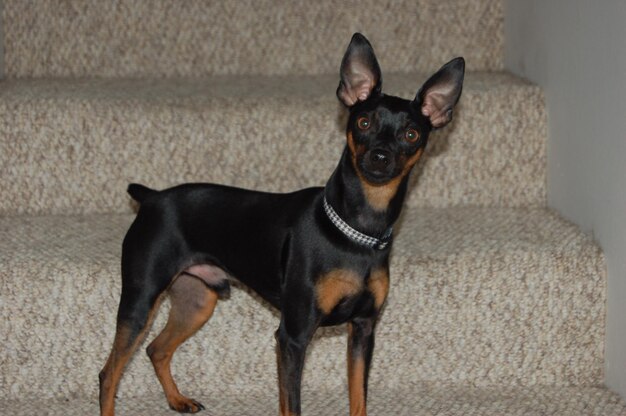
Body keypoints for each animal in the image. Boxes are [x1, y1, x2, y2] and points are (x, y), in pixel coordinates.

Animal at [98, 33, 464, 416]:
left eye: (411, 134)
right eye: (363, 123)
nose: (379, 157)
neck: (357, 233)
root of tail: (153, 197)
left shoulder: (363, 330)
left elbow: (358, 398)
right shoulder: (293, 336)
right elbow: (293, 404)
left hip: (196, 301)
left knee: (156, 349)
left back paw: (177, 399)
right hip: (142, 300)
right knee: (109, 373)